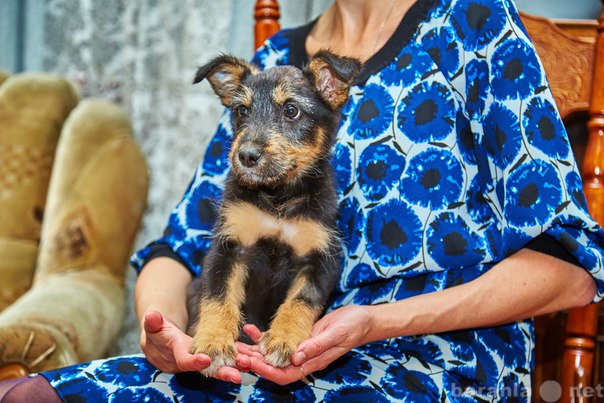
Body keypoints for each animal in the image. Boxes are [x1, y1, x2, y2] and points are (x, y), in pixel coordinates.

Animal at [189, 51, 358, 378]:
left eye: (292, 110)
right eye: (242, 110)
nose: (246, 156)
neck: (278, 197)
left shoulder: (321, 259)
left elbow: (301, 300)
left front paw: (283, 339)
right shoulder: (228, 248)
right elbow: (218, 295)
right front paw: (213, 343)